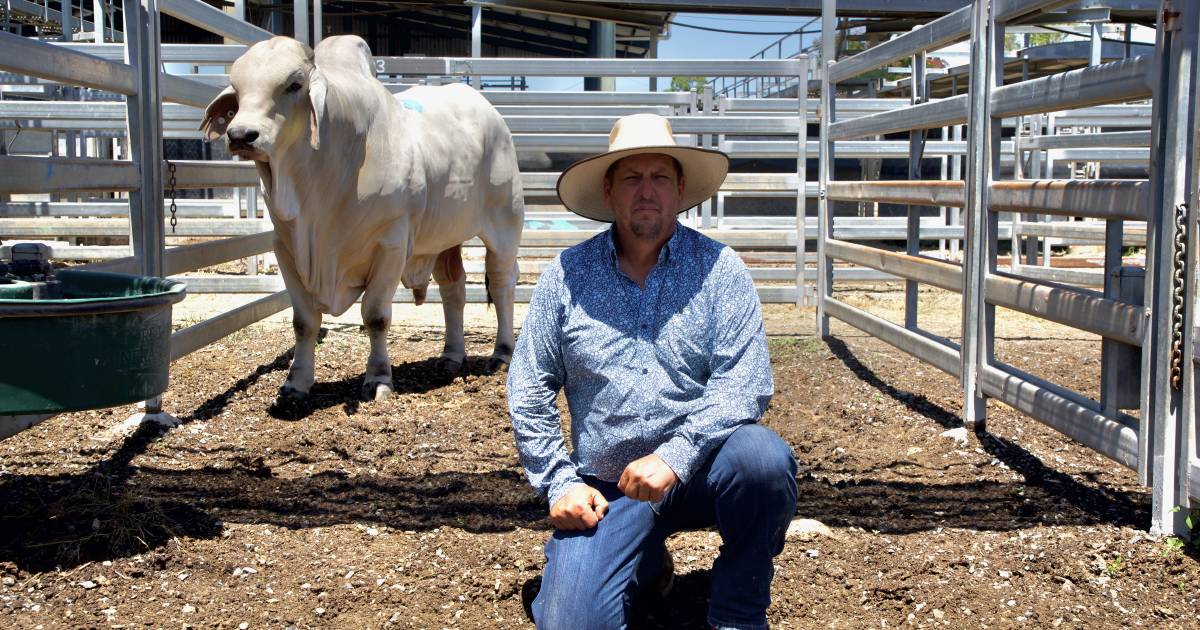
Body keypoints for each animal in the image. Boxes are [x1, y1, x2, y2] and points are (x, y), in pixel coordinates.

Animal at [201, 35, 525, 398]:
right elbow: (304, 321)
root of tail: (490, 112)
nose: (241, 135)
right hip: (443, 237)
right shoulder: (285, 249)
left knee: (502, 283)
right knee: (452, 288)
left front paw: (379, 379)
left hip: (506, 224)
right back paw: (451, 356)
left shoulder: (391, 244)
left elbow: (375, 315)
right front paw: (296, 383)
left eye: (294, 85)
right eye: (237, 89)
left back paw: (502, 354)